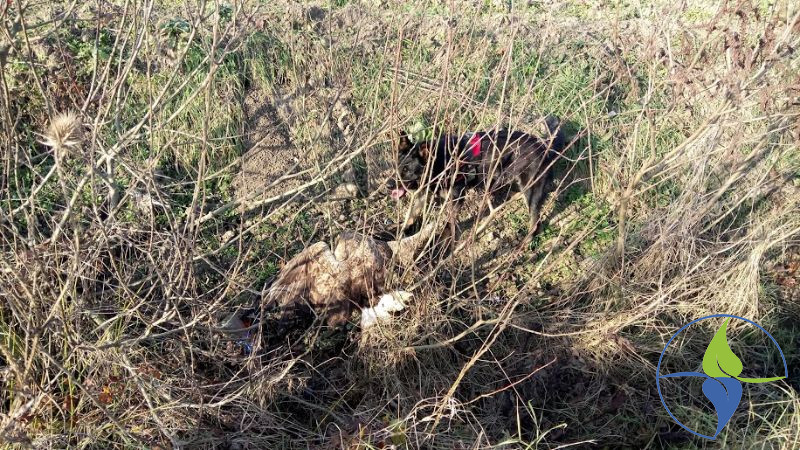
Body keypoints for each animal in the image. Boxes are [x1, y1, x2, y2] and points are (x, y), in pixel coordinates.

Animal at [389, 116, 566, 234]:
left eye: (407, 170)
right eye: (396, 167)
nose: (389, 186)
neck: (441, 161)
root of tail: (544, 147)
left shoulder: (456, 199)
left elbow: (448, 224)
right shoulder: (423, 193)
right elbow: (411, 215)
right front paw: (400, 232)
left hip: (531, 191)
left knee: (536, 223)